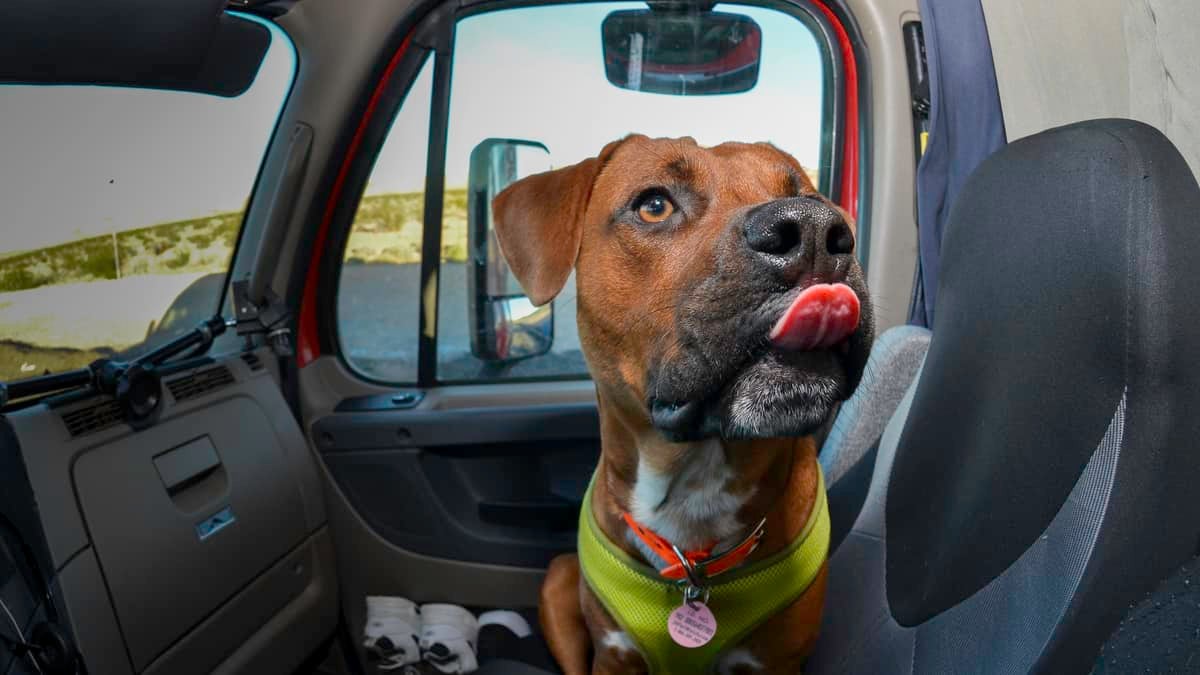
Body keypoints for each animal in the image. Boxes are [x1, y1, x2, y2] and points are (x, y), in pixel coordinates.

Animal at [492, 136, 878, 672]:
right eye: (654, 205)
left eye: (808, 196)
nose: (814, 228)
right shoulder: (611, 658)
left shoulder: (778, 662)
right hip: (557, 579)